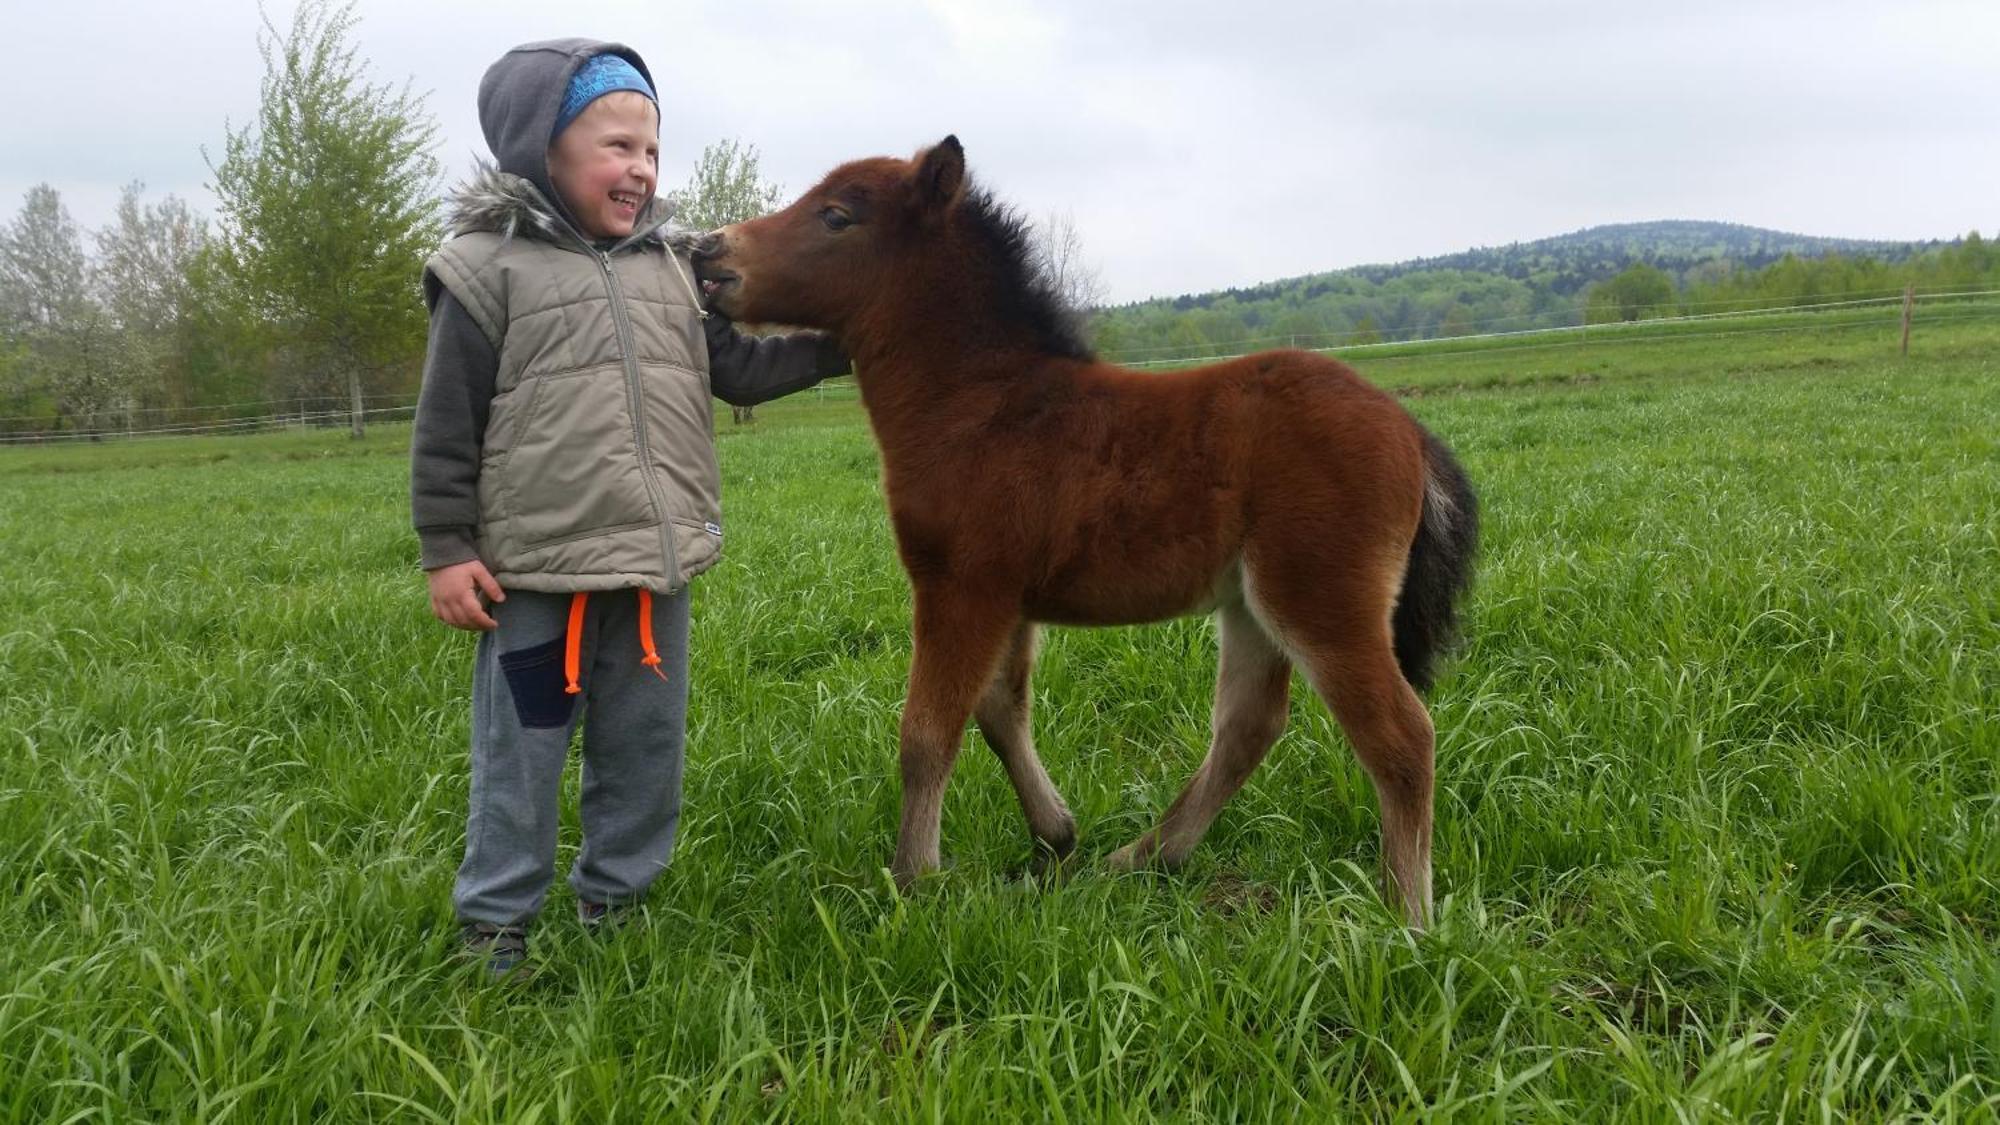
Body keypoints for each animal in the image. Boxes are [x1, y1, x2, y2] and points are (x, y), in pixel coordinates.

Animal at [696, 136, 1480, 924]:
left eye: (837, 215)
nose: (709, 252)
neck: (979, 405)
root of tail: (1410, 431)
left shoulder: (960, 586)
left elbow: (927, 732)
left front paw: (913, 880)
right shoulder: (1006, 597)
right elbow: (998, 710)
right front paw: (1055, 837)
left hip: (1320, 599)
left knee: (1401, 737)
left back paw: (1409, 917)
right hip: (1250, 602)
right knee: (1249, 725)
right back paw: (1142, 858)